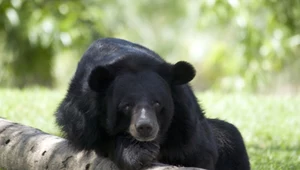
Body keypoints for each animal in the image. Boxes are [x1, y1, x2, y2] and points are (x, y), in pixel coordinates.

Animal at [55, 38, 250, 170]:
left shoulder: (186, 118)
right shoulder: (83, 115)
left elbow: (200, 152)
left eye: (157, 103)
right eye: (126, 106)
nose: (145, 127)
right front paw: (138, 152)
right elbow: (100, 137)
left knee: (230, 138)